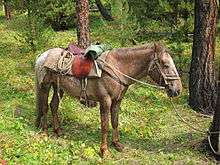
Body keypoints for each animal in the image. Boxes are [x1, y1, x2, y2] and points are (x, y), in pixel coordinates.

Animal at [34, 42, 182, 156]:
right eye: (165, 64)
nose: (177, 89)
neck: (117, 67)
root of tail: (42, 56)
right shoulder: (105, 101)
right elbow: (105, 126)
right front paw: (104, 150)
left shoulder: (117, 101)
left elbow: (115, 122)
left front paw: (116, 144)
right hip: (45, 86)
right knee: (45, 107)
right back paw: (45, 132)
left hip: (58, 87)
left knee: (54, 105)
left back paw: (58, 130)